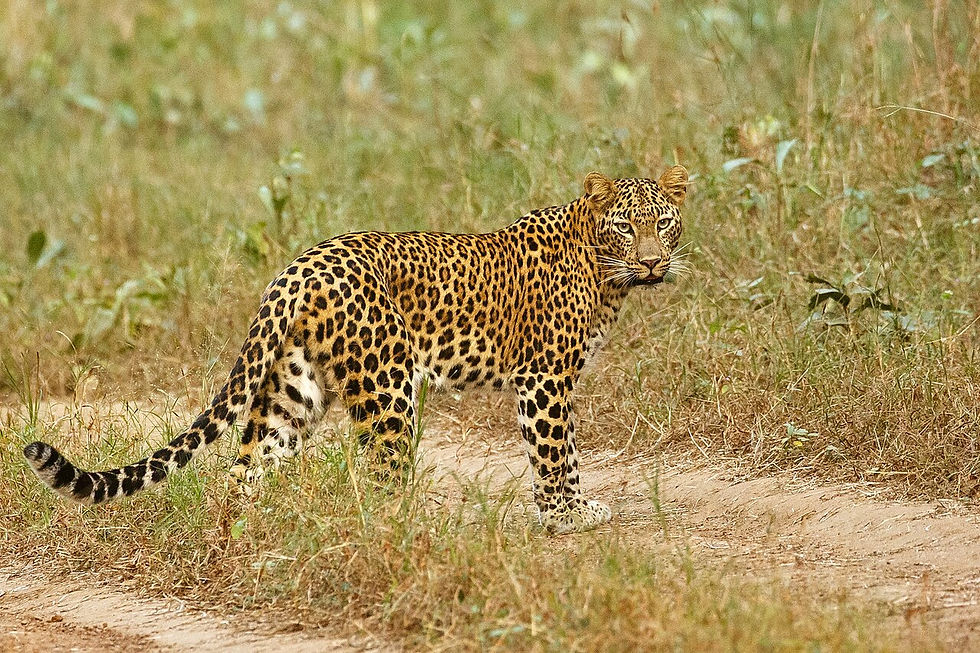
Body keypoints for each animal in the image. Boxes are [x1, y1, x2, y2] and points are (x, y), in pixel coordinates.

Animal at [24, 165, 689, 535]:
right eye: (626, 226)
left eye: (663, 223)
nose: (654, 262)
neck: (608, 275)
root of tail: (299, 266)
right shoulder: (544, 379)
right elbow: (554, 454)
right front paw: (565, 519)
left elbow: (568, 452)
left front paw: (575, 511)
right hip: (389, 387)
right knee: (382, 480)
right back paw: (410, 544)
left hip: (291, 390)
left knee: (246, 470)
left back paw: (245, 543)